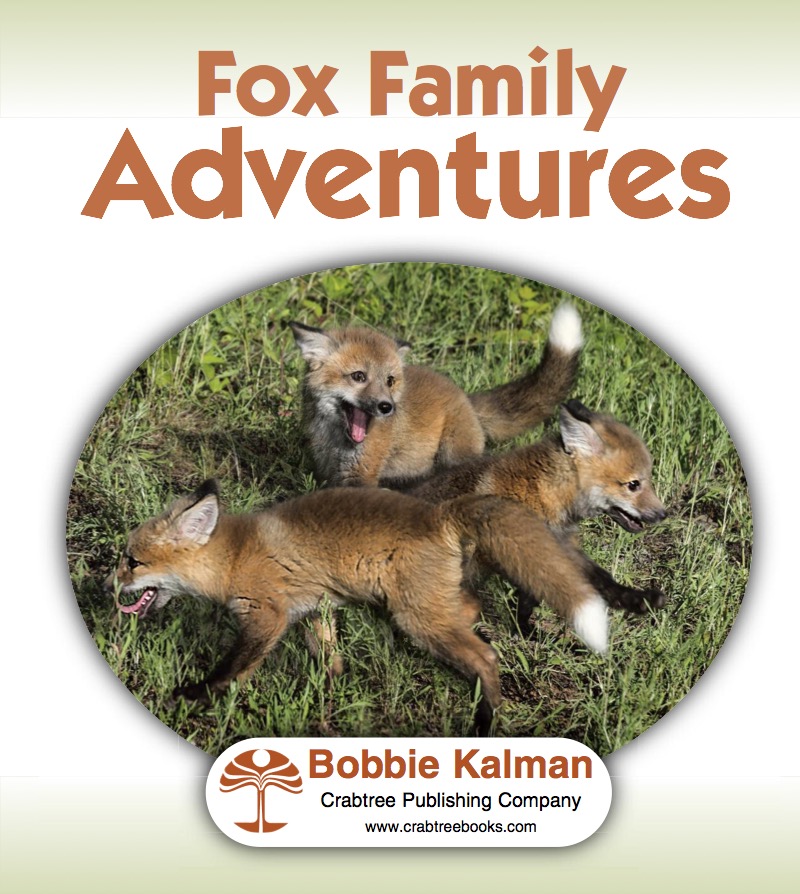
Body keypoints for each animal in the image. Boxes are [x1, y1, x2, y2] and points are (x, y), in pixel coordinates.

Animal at [105, 479, 642, 735]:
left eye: (133, 562)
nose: (108, 586)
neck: (234, 557)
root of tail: (440, 513)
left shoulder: (266, 616)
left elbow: (231, 670)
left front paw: (195, 696)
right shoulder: (314, 611)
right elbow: (330, 663)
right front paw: (329, 704)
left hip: (416, 619)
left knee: (485, 658)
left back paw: (485, 721)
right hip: (433, 606)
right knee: (474, 612)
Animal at [289, 302, 583, 487]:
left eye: (390, 381)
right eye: (358, 376)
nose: (386, 407)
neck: (336, 439)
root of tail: (463, 396)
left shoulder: (362, 473)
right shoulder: (330, 473)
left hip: (453, 457)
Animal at [407, 399, 669, 628]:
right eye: (633, 485)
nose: (663, 514)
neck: (543, 494)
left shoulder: (561, 548)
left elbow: (603, 580)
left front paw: (637, 599)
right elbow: (529, 598)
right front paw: (524, 631)